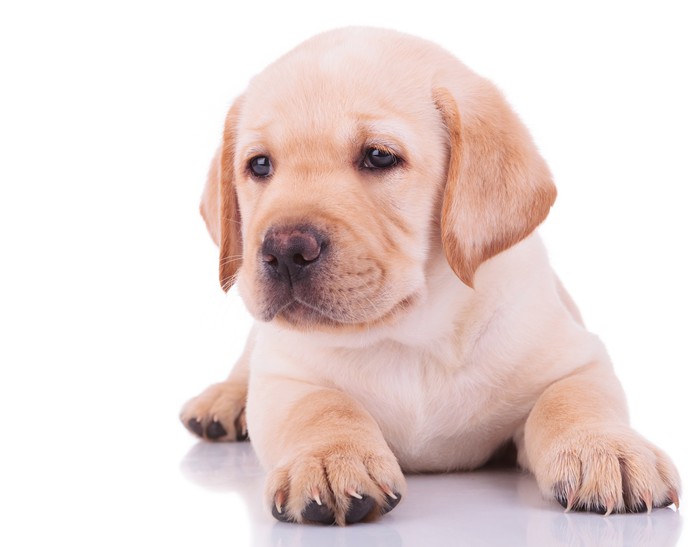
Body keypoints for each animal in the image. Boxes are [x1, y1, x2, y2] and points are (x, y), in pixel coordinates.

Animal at [180, 27, 680, 524]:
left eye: (379, 157)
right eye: (260, 165)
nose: (284, 250)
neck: (410, 335)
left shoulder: (575, 358)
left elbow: (571, 399)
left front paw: (605, 448)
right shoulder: (285, 377)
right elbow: (322, 407)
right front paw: (329, 459)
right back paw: (221, 401)